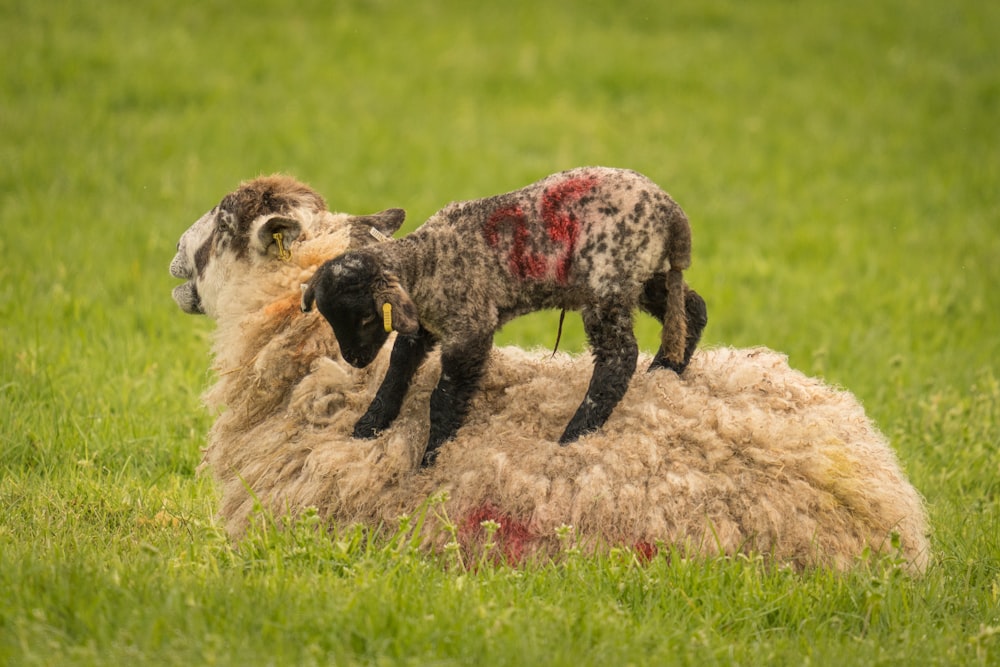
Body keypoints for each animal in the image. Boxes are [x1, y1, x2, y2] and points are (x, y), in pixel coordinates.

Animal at [300, 165, 708, 468]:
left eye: (367, 319)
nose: (354, 360)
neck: (425, 262)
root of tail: (672, 213)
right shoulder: (425, 323)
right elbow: (398, 367)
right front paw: (368, 425)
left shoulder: (470, 328)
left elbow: (444, 399)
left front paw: (432, 457)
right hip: (644, 275)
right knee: (691, 309)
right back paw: (667, 369)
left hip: (608, 282)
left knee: (619, 358)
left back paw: (575, 434)